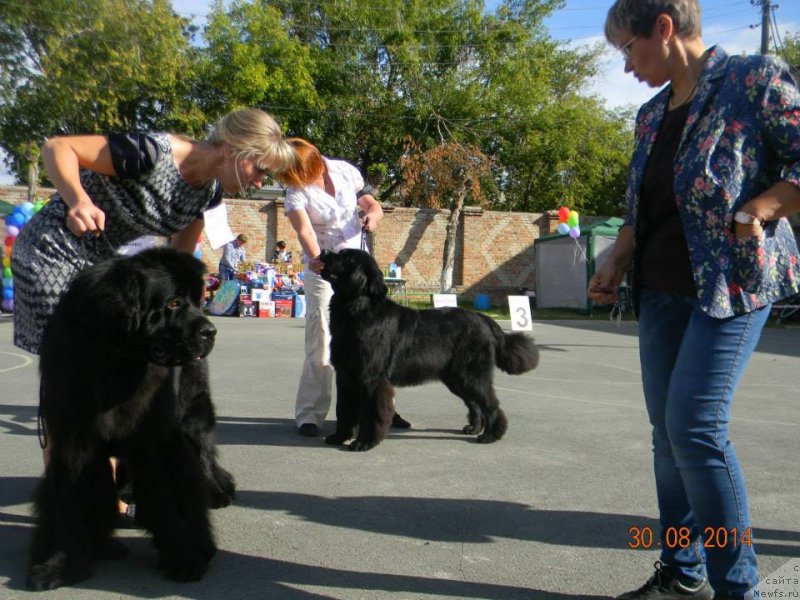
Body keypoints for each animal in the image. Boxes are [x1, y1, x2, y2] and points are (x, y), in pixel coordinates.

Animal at [27, 248, 234, 592]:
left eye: (196, 300)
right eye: (173, 303)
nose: (210, 331)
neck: (119, 362)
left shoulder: (157, 440)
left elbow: (168, 500)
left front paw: (183, 558)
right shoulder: (76, 442)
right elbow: (73, 501)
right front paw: (60, 563)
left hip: (193, 416)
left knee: (201, 461)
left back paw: (214, 502)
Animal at [318, 247, 536, 450]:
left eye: (346, 257)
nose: (323, 251)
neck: (356, 309)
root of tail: (483, 318)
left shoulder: (370, 379)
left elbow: (369, 414)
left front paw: (364, 442)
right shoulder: (345, 376)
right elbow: (344, 410)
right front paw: (339, 437)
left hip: (472, 375)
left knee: (490, 403)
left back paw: (491, 435)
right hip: (456, 378)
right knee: (474, 403)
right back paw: (474, 428)